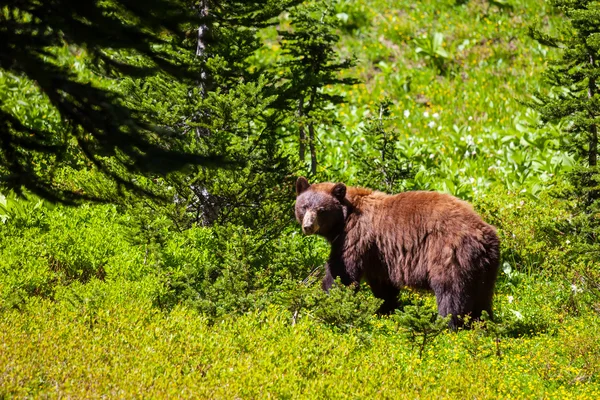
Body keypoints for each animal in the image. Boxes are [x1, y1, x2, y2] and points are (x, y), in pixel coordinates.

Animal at [292, 177, 500, 328]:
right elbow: (384, 286)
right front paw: (385, 310)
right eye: (304, 206)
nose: (308, 226)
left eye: (321, 210)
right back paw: (482, 324)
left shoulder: (355, 238)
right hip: (485, 268)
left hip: (450, 255)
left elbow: (342, 273)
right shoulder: (379, 256)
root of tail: (483, 234)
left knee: (451, 294)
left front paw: (325, 301)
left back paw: (446, 325)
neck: (344, 219)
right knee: (482, 298)